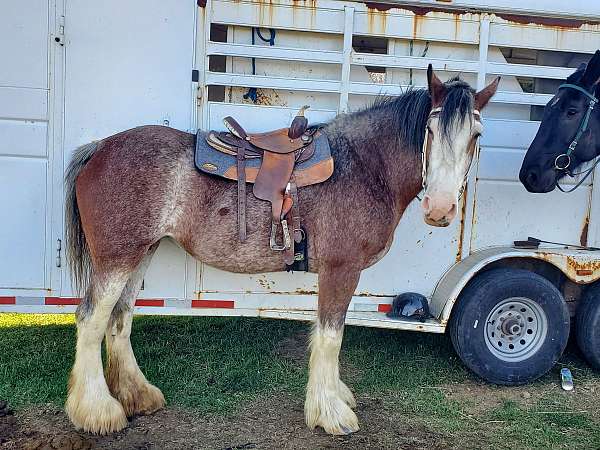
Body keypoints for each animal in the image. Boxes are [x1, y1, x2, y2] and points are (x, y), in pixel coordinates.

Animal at [63, 67, 500, 436]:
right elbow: (331, 337)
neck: (363, 167)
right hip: (117, 258)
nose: (440, 209)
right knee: (91, 320)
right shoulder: (341, 269)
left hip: (142, 252)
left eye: (477, 136)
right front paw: (331, 413)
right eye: (430, 129)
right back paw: (98, 412)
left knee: (119, 320)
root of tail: (99, 148)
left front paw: (335, 396)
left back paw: (137, 396)